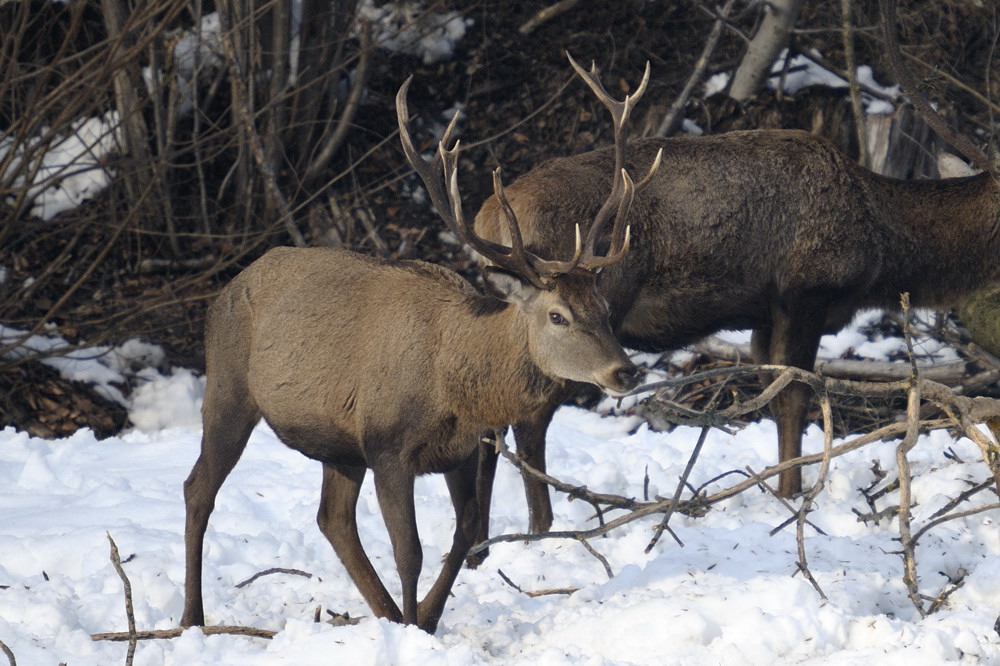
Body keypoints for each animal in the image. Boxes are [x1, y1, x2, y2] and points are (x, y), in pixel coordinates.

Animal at [178, 70, 656, 632]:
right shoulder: (388, 443)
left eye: (603, 307)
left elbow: (467, 531)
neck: (454, 384)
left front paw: (424, 617)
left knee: (332, 518)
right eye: (557, 315)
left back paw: (382, 613)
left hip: (340, 445)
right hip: (228, 387)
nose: (626, 372)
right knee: (199, 489)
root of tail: (226, 289)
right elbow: (410, 550)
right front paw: (415, 627)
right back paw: (191, 616)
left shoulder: (460, 449)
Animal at [474, 24, 1000, 540]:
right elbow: (795, 397)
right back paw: (539, 528)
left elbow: (771, 396)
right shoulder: (806, 293)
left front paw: (782, 489)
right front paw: (792, 497)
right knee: (529, 418)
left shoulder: (765, 314)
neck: (883, 251)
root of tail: (486, 216)